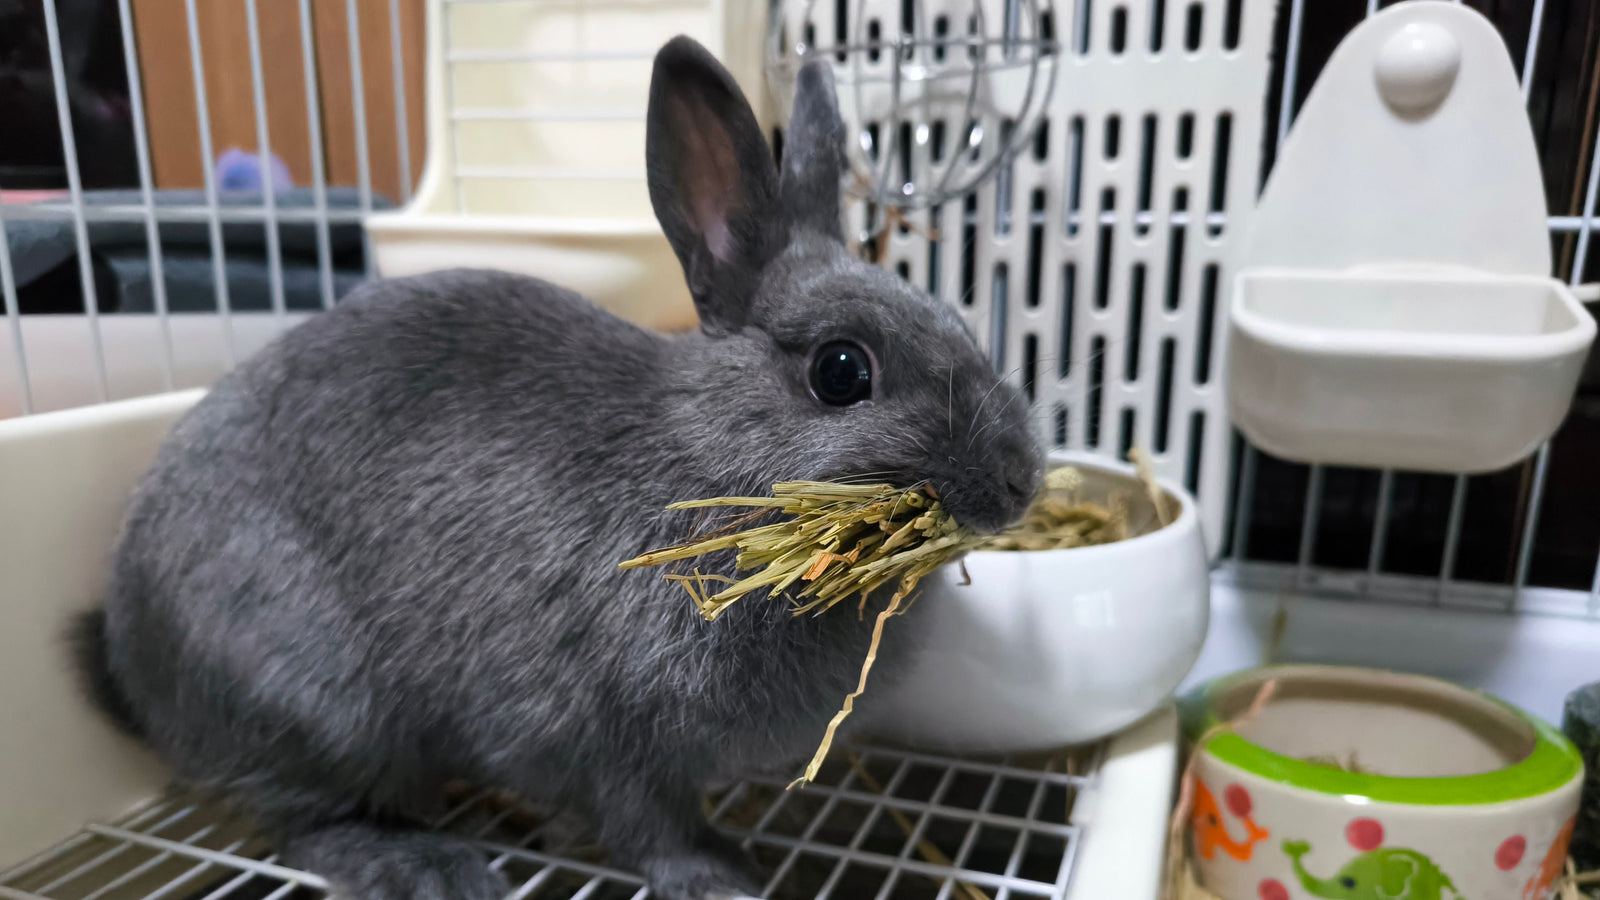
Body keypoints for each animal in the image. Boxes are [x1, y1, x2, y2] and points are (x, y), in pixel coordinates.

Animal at [72, 35, 1043, 900]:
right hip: (320, 701)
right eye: (842, 372)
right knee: (303, 819)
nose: (1019, 480)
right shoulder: (605, 736)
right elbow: (649, 823)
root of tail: (135, 659)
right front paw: (720, 877)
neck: (698, 456)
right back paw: (428, 865)